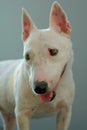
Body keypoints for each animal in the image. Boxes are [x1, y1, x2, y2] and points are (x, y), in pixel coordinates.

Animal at [0, 1, 75, 130]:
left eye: (53, 51)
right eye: (27, 57)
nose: (39, 88)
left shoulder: (65, 111)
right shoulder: (22, 114)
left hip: (8, 117)